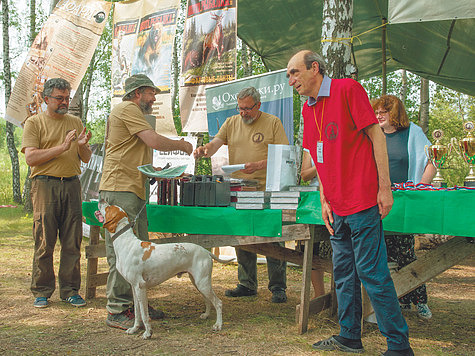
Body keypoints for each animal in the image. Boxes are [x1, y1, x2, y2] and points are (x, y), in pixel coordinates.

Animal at [96, 200, 231, 340]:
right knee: (208, 300)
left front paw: (148, 333)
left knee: (218, 302)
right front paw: (134, 329)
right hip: (198, 282)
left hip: (202, 283)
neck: (126, 242)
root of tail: (205, 251)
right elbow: (137, 313)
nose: (101, 200)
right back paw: (206, 315)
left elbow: (144, 314)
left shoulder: (140, 286)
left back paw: (218, 325)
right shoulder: (134, 287)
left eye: (109, 207)